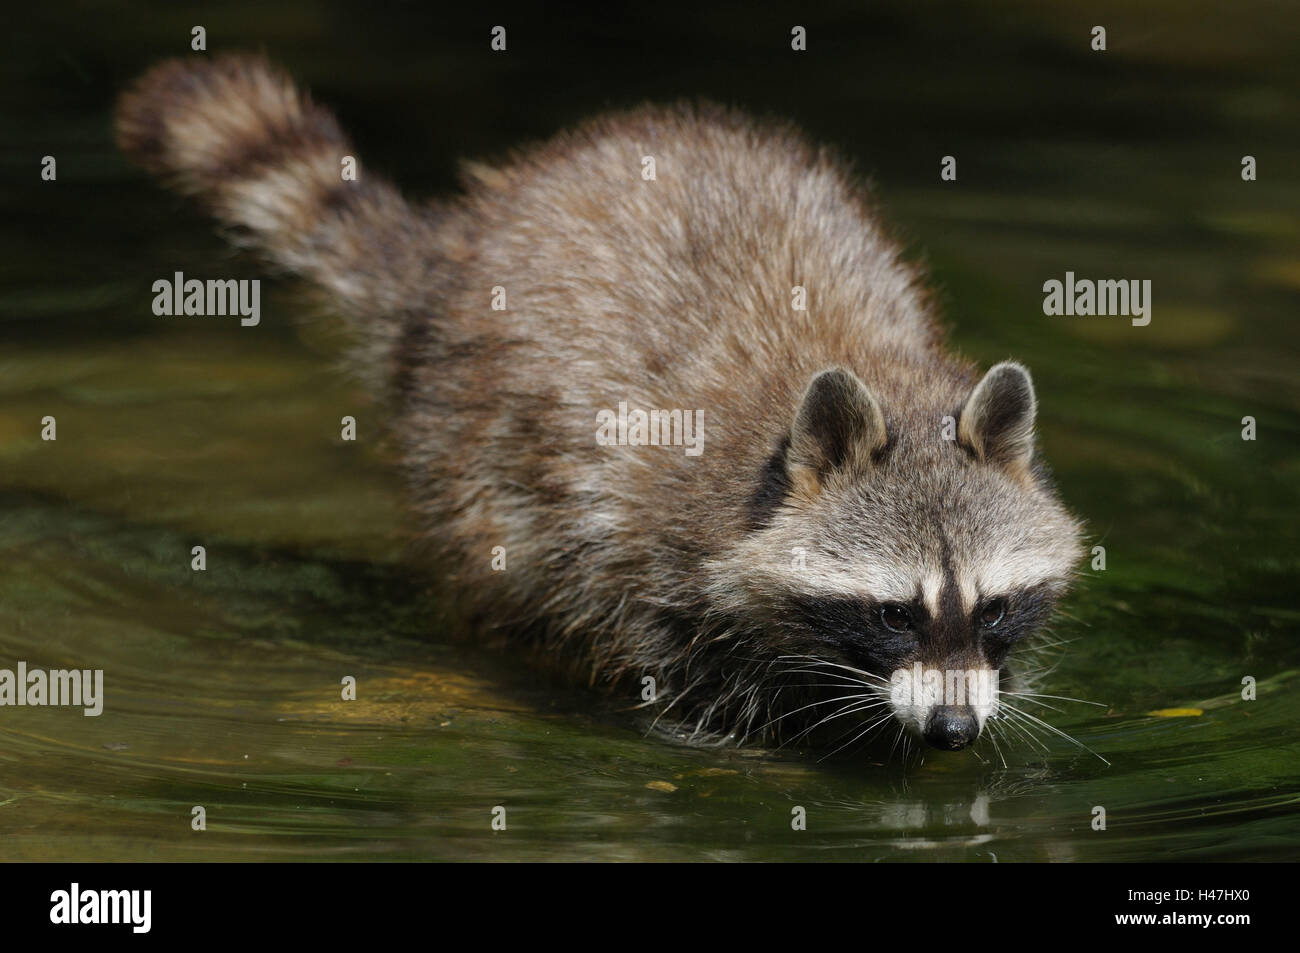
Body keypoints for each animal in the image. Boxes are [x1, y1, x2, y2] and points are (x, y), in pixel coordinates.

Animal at [114, 55, 1086, 759]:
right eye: (893, 613)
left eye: (993, 608)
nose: (954, 730)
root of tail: (457, 254)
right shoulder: (652, 530)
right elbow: (668, 650)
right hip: (470, 441)